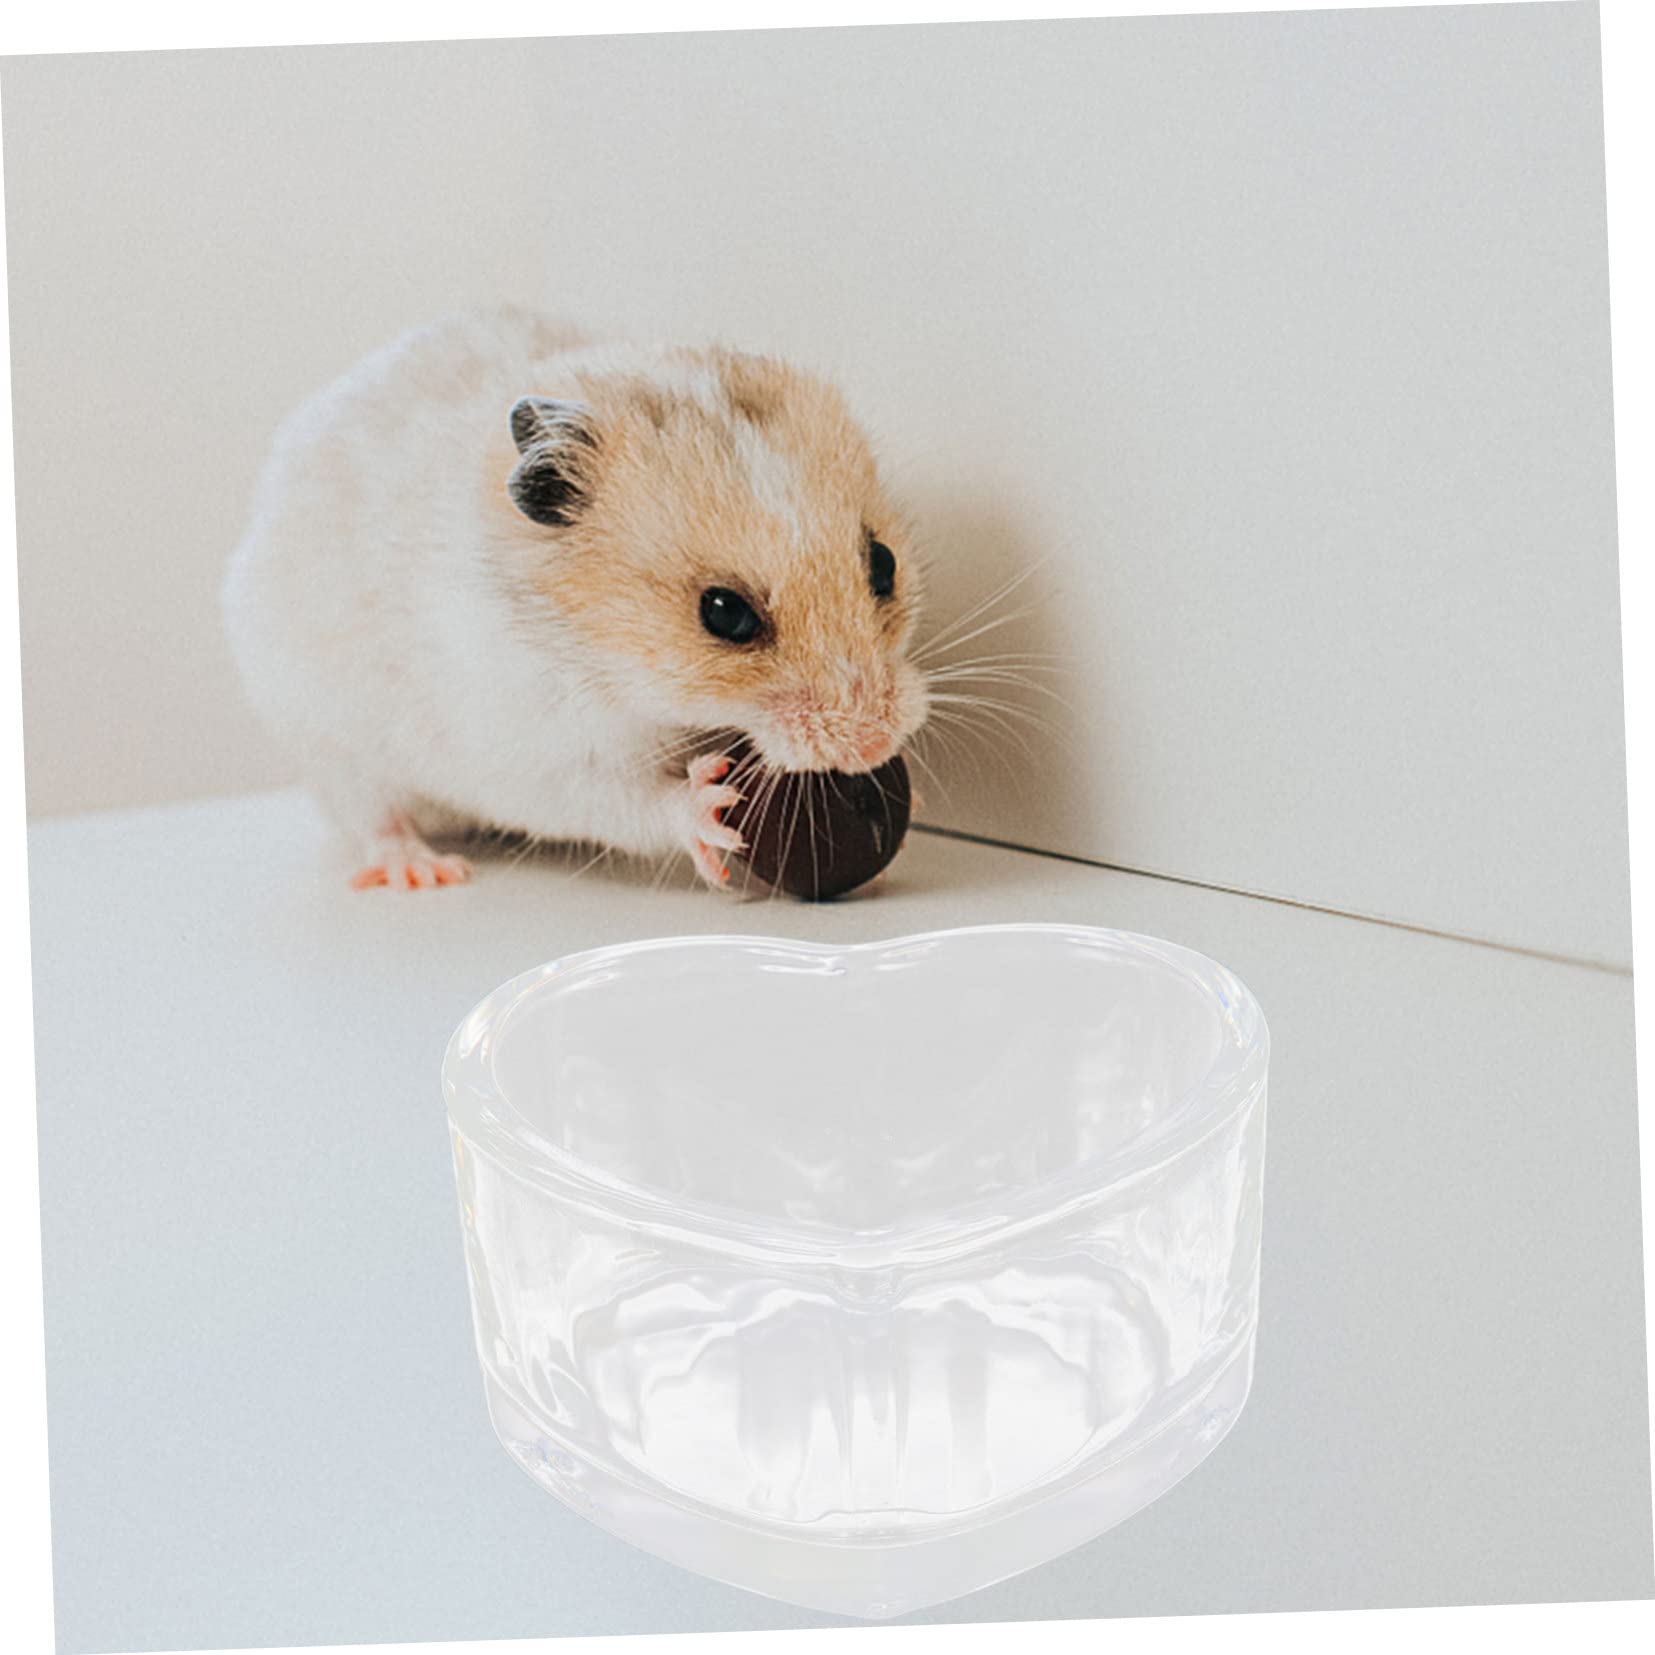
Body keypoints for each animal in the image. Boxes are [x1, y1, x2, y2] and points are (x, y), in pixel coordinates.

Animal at [221, 307, 930, 891]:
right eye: (725, 613)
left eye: (883, 564)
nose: (872, 746)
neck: (609, 659)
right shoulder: (536, 756)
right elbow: (623, 801)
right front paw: (710, 813)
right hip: (328, 740)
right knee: (370, 816)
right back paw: (423, 872)